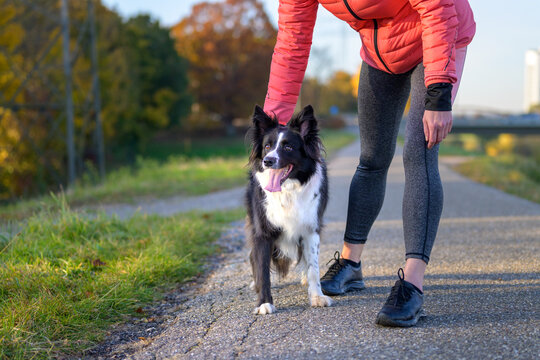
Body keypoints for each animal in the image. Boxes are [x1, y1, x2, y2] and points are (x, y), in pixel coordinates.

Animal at [246, 105, 332, 316]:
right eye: (267, 147)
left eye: (288, 147)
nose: (268, 161)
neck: (288, 189)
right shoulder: (262, 232)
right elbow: (263, 270)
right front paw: (264, 303)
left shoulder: (311, 229)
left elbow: (313, 267)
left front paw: (317, 296)